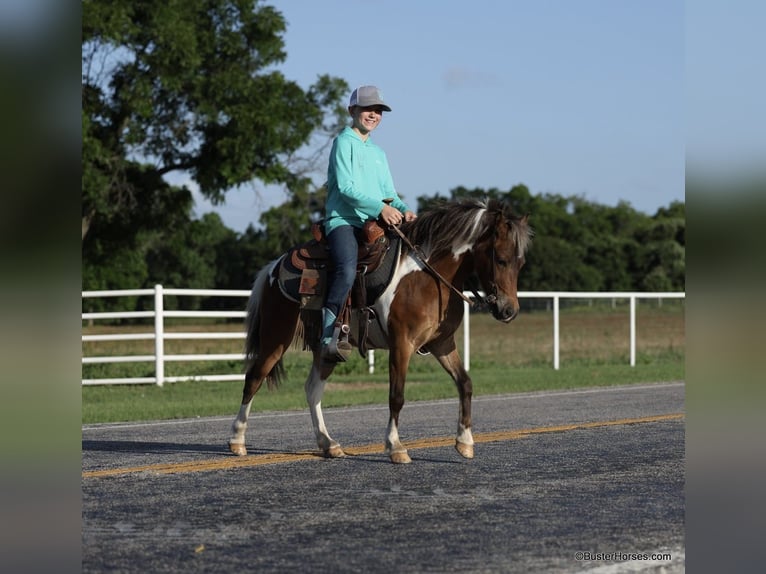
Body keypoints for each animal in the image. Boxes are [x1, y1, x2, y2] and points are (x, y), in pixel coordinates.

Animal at [228, 198, 532, 464]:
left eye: (521, 262)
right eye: (501, 259)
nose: (508, 311)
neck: (428, 277)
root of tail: (274, 266)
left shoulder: (442, 343)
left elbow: (465, 383)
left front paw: (465, 442)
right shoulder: (401, 344)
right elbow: (396, 396)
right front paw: (396, 447)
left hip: (326, 351)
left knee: (312, 389)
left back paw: (329, 444)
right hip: (276, 337)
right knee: (254, 378)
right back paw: (237, 441)